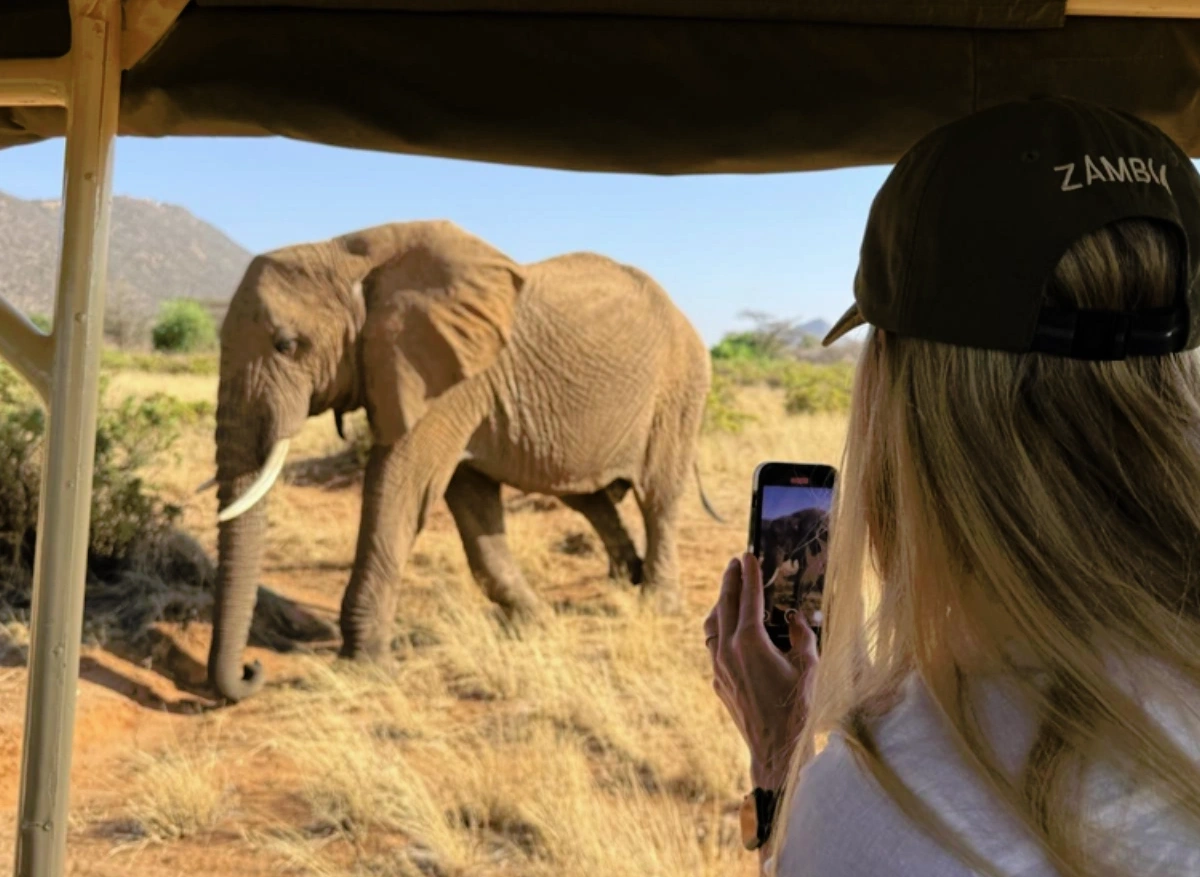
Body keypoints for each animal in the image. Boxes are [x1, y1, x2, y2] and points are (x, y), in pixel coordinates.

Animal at [202, 220, 720, 702]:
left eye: (287, 345)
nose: (251, 669)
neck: (347, 253)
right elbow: (472, 510)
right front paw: (536, 625)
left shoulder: (448, 379)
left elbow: (401, 489)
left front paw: (362, 669)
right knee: (587, 495)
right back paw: (627, 578)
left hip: (679, 389)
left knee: (658, 498)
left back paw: (658, 604)